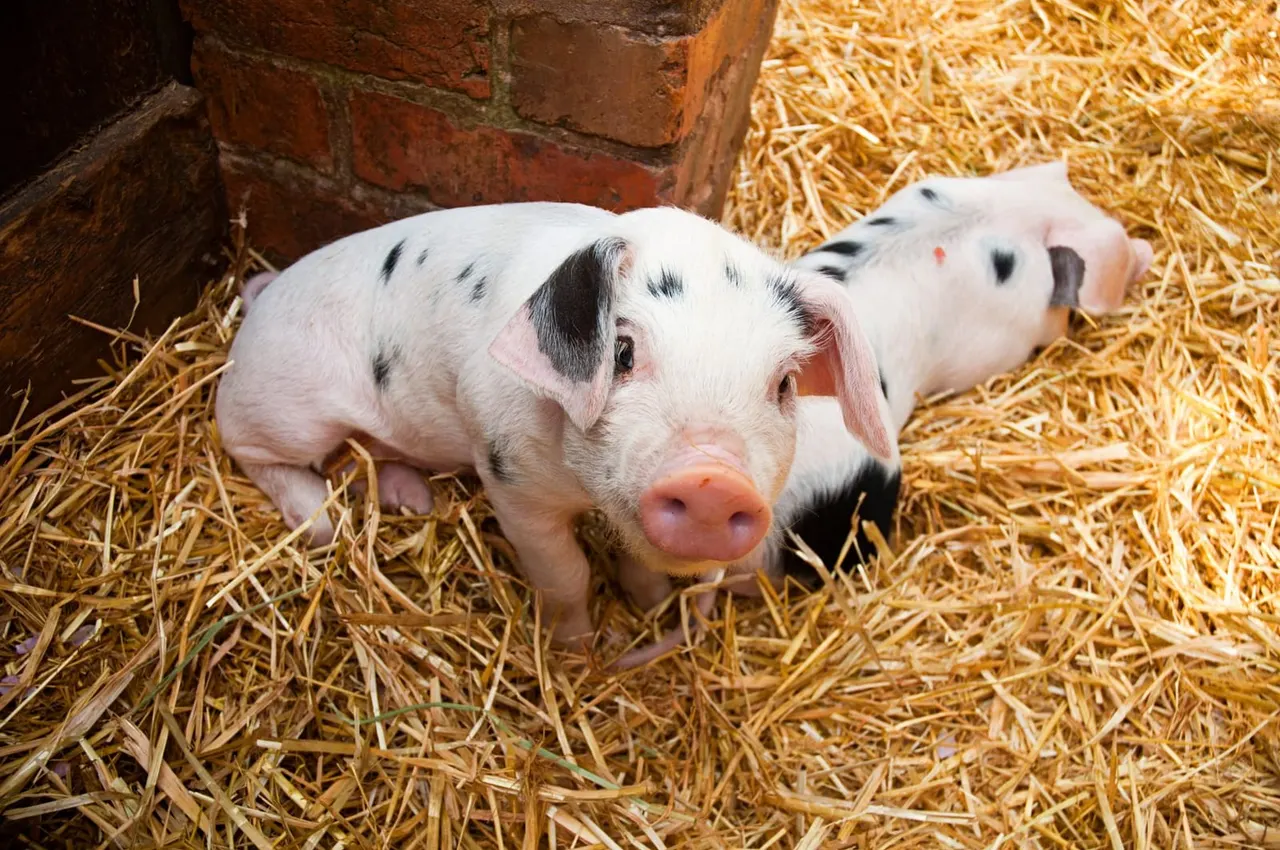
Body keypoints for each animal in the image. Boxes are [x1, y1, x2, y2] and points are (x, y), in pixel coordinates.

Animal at [214, 202, 893, 659]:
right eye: (622, 352)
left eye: (783, 383)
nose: (713, 479)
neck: (582, 490)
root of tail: (261, 303)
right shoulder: (510, 481)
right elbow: (566, 573)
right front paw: (578, 648)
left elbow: (636, 564)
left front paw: (649, 605)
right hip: (287, 408)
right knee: (251, 446)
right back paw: (322, 525)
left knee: (360, 459)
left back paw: (414, 498)